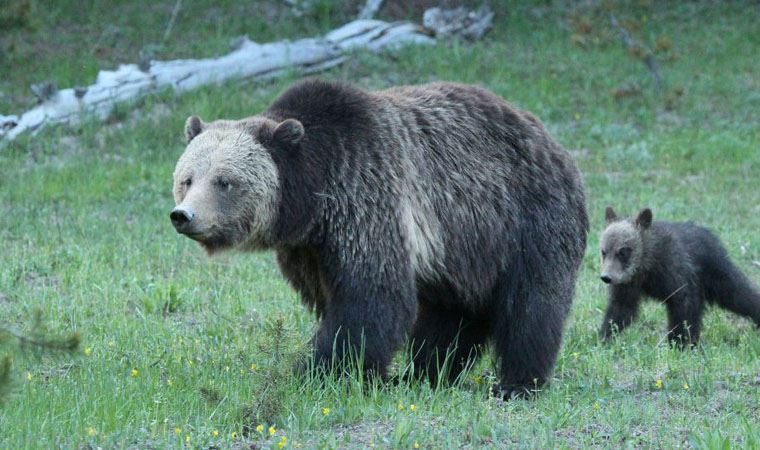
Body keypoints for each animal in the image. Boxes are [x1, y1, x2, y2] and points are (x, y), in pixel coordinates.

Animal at [172, 78, 588, 398]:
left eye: (224, 181)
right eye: (188, 178)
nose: (184, 216)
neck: (313, 197)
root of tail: (551, 140)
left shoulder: (366, 198)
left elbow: (370, 298)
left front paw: (320, 372)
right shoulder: (308, 249)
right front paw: (363, 373)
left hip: (524, 219)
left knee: (531, 306)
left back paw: (516, 383)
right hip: (462, 250)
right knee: (452, 315)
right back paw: (424, 374)